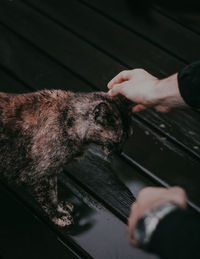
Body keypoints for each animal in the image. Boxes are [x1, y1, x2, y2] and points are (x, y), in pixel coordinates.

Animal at [0, 91, 133, 228]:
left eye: (128, 137)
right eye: (118, 141)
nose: (119, 152)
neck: (68, 122)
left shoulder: (52, 171)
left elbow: (54, 191)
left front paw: (61, 207)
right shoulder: (39, 173)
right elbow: (49, 196)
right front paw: (58, 215)